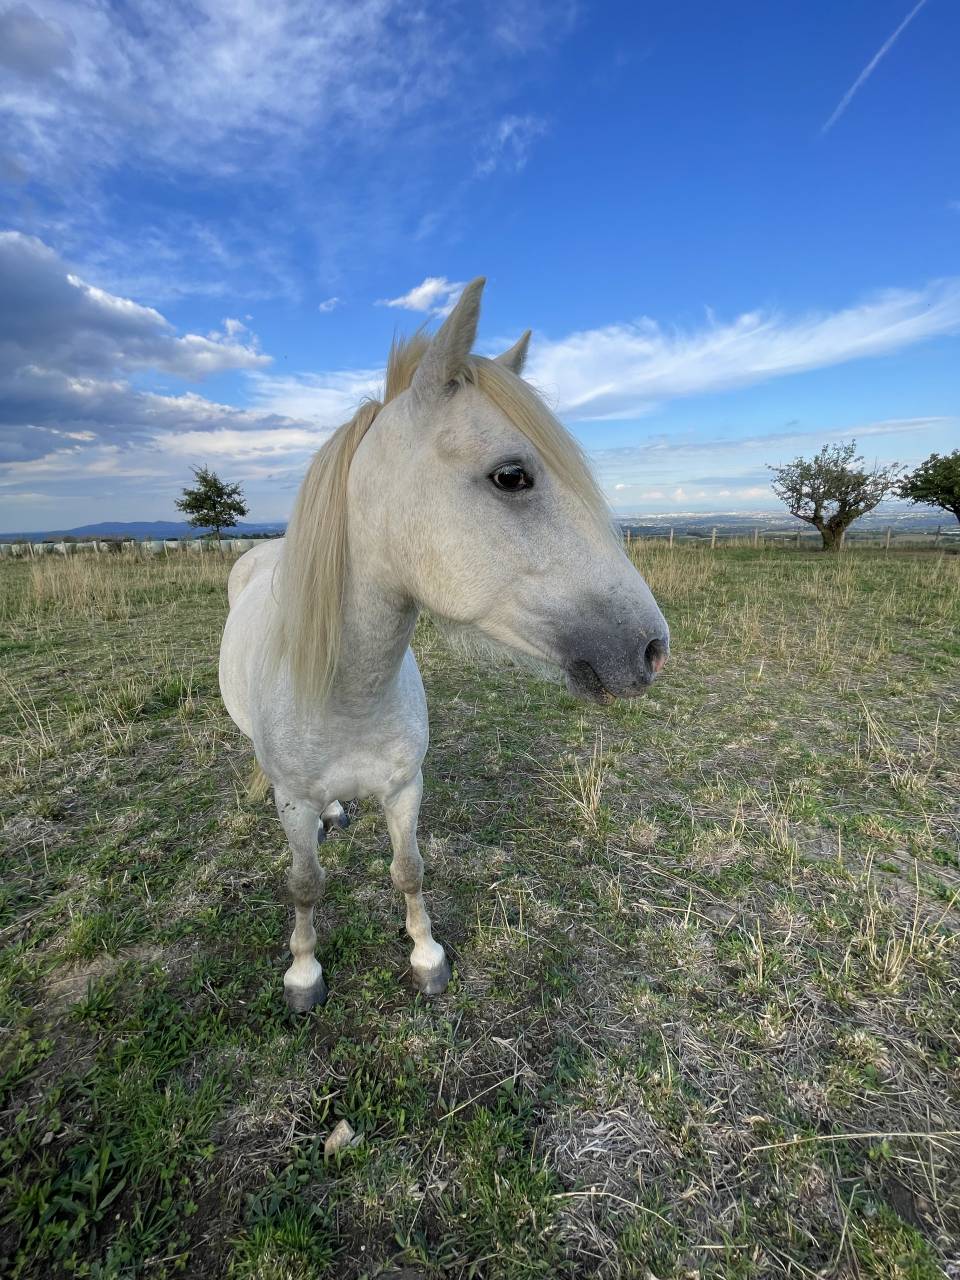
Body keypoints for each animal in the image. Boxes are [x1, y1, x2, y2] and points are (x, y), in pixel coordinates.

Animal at [219, 278, 669, 1012]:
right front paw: (304, 972)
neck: (349, 695)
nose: (653, 647)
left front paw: (425, 956)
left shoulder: (405, 788)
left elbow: (408, 870)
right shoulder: (293, 802)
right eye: (512, 475)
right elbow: (306, 885)